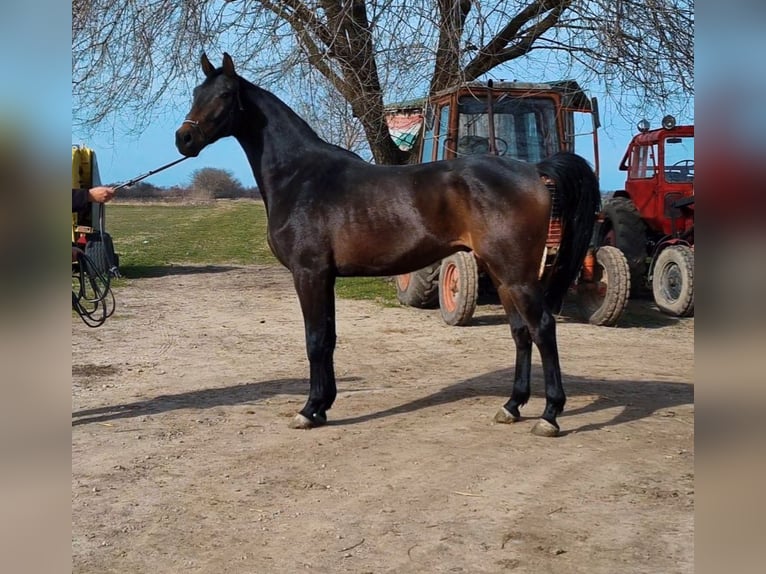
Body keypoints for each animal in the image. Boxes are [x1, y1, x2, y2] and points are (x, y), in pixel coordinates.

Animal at [175, 53, 601, 437]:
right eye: (196, 92)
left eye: (225, 94)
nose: (184, 138)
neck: (301, 177)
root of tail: (534, 170)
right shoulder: (326, 277)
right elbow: (328, 338)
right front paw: (323, 406)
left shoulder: (308, 273)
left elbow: (315, 340)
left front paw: (308, 410)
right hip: (502, 274)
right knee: (520, 332)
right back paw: (512, 406)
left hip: (517, 275)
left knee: (542, 328)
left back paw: (550, 415)